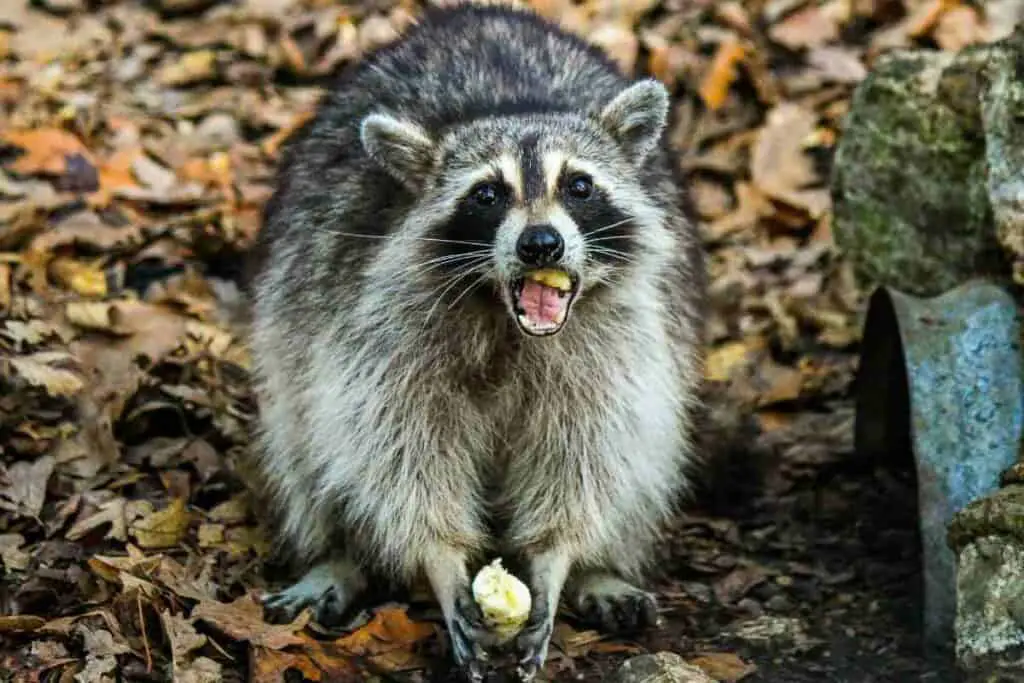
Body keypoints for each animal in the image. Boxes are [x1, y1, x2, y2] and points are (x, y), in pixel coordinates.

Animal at [247, 2, 708, 679]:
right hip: (295, 307)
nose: (540, 244)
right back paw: (336, 552)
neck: (508, 320)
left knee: (645, 453)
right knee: (303, 442)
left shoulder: (615, 341)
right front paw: (438, 558)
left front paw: (557, 558)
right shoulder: (383, 332)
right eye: (488, 194)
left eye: (579, 186)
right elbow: (396, 451)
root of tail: (477, 15)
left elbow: (588, 453)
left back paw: (601, 567)